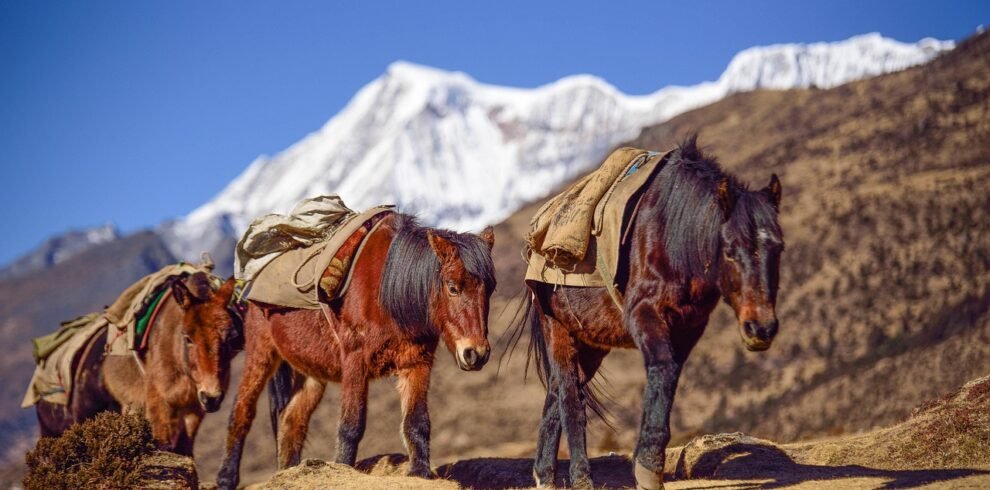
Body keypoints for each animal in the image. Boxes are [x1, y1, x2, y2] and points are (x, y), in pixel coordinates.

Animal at [35, 272, 243, 457]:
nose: (211, 397)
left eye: (230, 336)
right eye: (187, 338)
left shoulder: (193, 411)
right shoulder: (158, 407)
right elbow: (164, 446)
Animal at [216, 213, 496, 490]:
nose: (476, 353)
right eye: (452, 287)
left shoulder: (417, 363)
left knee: (291, 421)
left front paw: (420, 473)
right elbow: (351, 426)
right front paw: (343, 467)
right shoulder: (355, 361)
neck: (388, 292)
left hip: (311, 374)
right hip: (261, 354)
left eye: (490, 289)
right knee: (241, 413)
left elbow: (417, 422)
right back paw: (226, 479)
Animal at [515, 137, 784, 489]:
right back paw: (581, 478)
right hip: (558, 329)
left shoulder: (688, 328)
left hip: (590, 343)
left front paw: (649, 466)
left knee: (556, 393)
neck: (673, 236)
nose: (761, 328)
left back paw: (545, 476)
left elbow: (669, 377)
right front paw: (647, 469)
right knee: (571, 399)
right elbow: (662, 369)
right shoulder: (645, 314)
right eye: (729, 251)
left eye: (778, 248)